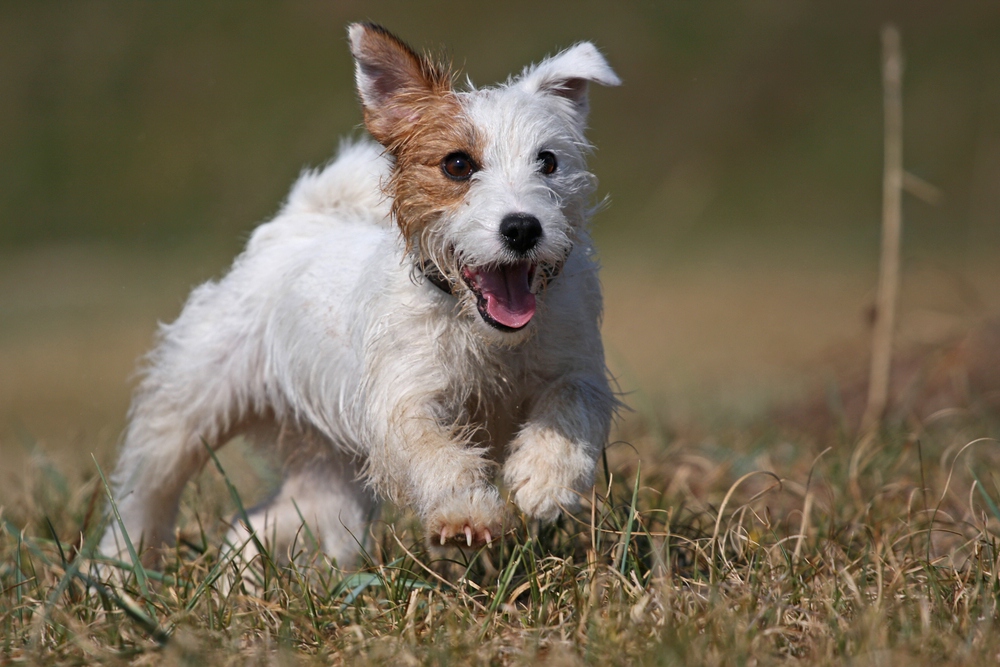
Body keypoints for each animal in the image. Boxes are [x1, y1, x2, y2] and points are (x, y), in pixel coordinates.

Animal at [97, 23, 620, 568]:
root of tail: (301, 221)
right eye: (457, 164)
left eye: (548, 162)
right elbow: (433, 452)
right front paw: (466, 511)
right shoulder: (406, 400)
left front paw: (546, 478)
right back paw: (118, 569)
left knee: (255, 524)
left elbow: (571, 405)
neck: (481, 333)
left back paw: (242, 574)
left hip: (332, 477)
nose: (522, 228)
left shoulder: (575, 367)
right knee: (145, 496)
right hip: (183, 415)